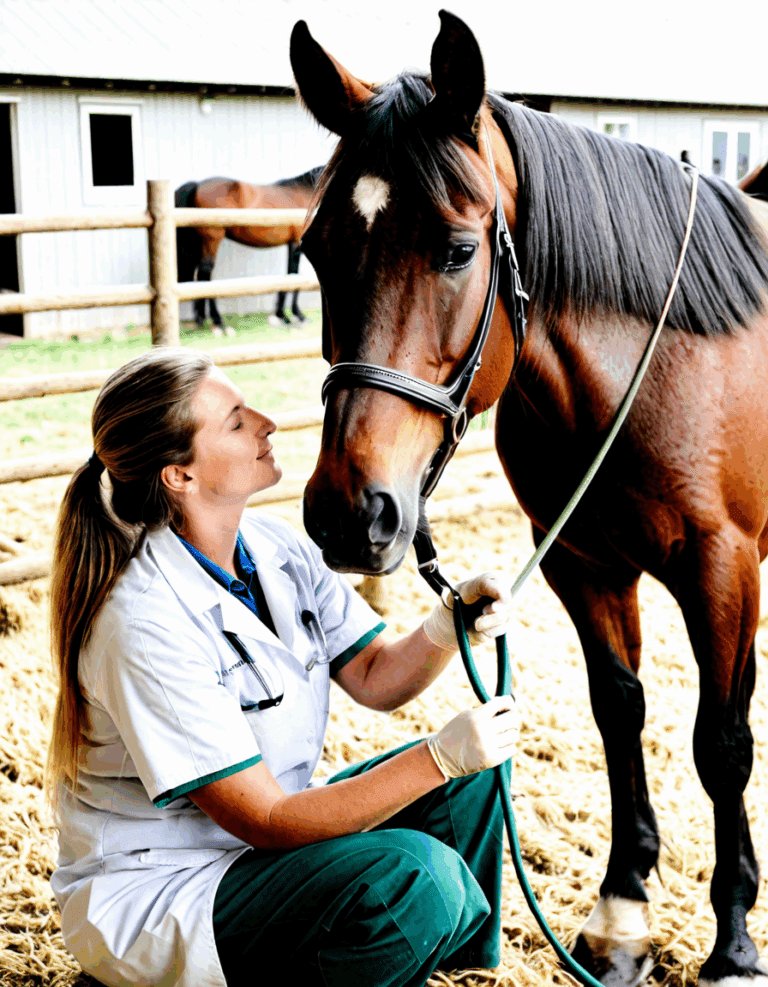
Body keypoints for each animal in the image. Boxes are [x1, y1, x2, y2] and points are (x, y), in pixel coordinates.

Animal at [175, 167, 323, 334]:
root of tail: (197, 184)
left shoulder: (292, 244)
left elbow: (291, 275)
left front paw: (284, 315)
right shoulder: (297, 243)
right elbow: (293, 275)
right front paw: (292, 315)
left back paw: (201, 319)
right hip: (213, 238)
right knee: (205, 273)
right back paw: (218, 322)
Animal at [292, 12, 768, 987]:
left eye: (458, 250)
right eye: (318, 249)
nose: (351, 513)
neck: (658, 372)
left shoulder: (724, 569)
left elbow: (722, 740)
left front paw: (734, 941)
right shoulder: (583, 563)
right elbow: (620, 711)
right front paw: (623, 914)